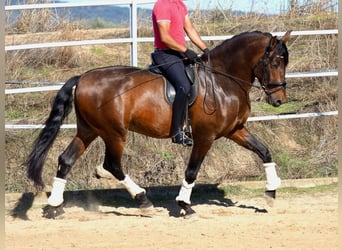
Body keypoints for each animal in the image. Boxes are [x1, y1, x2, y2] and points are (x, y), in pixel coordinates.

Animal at [25, 29, 292, 217]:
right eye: (274, 62)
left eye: (284, 62)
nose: (279, 100)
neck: (222, 80)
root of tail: (82, 78)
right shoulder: (205, 136)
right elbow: (192, 170)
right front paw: (185, 205)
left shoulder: (235, 130)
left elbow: (264, 151)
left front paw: (271, 192)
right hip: (114, 133)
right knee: (112, 165)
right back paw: (143, 200)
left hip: (88, 130)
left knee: (66, 159)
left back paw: (55, 206)